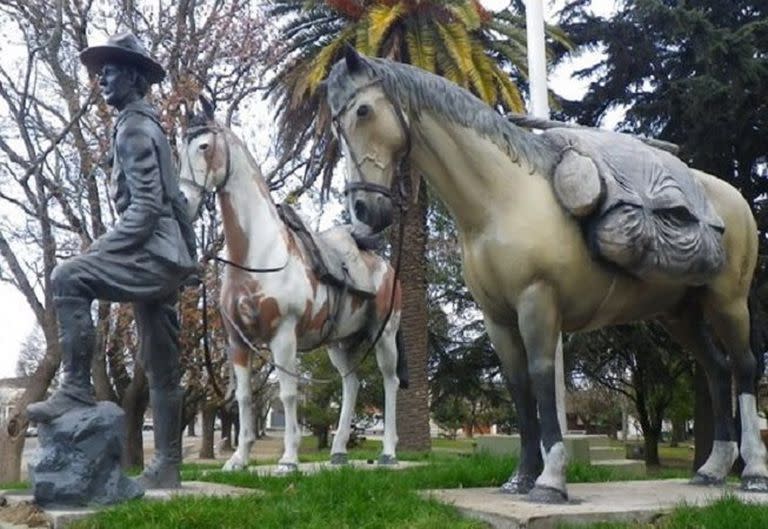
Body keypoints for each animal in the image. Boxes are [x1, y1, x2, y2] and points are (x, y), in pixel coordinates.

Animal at [178, 102, 408, 470]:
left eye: (203, 146)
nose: (184, 201)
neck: (260, 254)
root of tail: (386, 266)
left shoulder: (283, 336)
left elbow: (287, 393)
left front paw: (288, 459)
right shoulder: (237, 342)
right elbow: (243, 397)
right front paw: (239, 459)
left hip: (383, 335)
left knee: (390, 381)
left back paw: (388, 452)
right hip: (340, 343)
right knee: (351, 383)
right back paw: (339, 452)